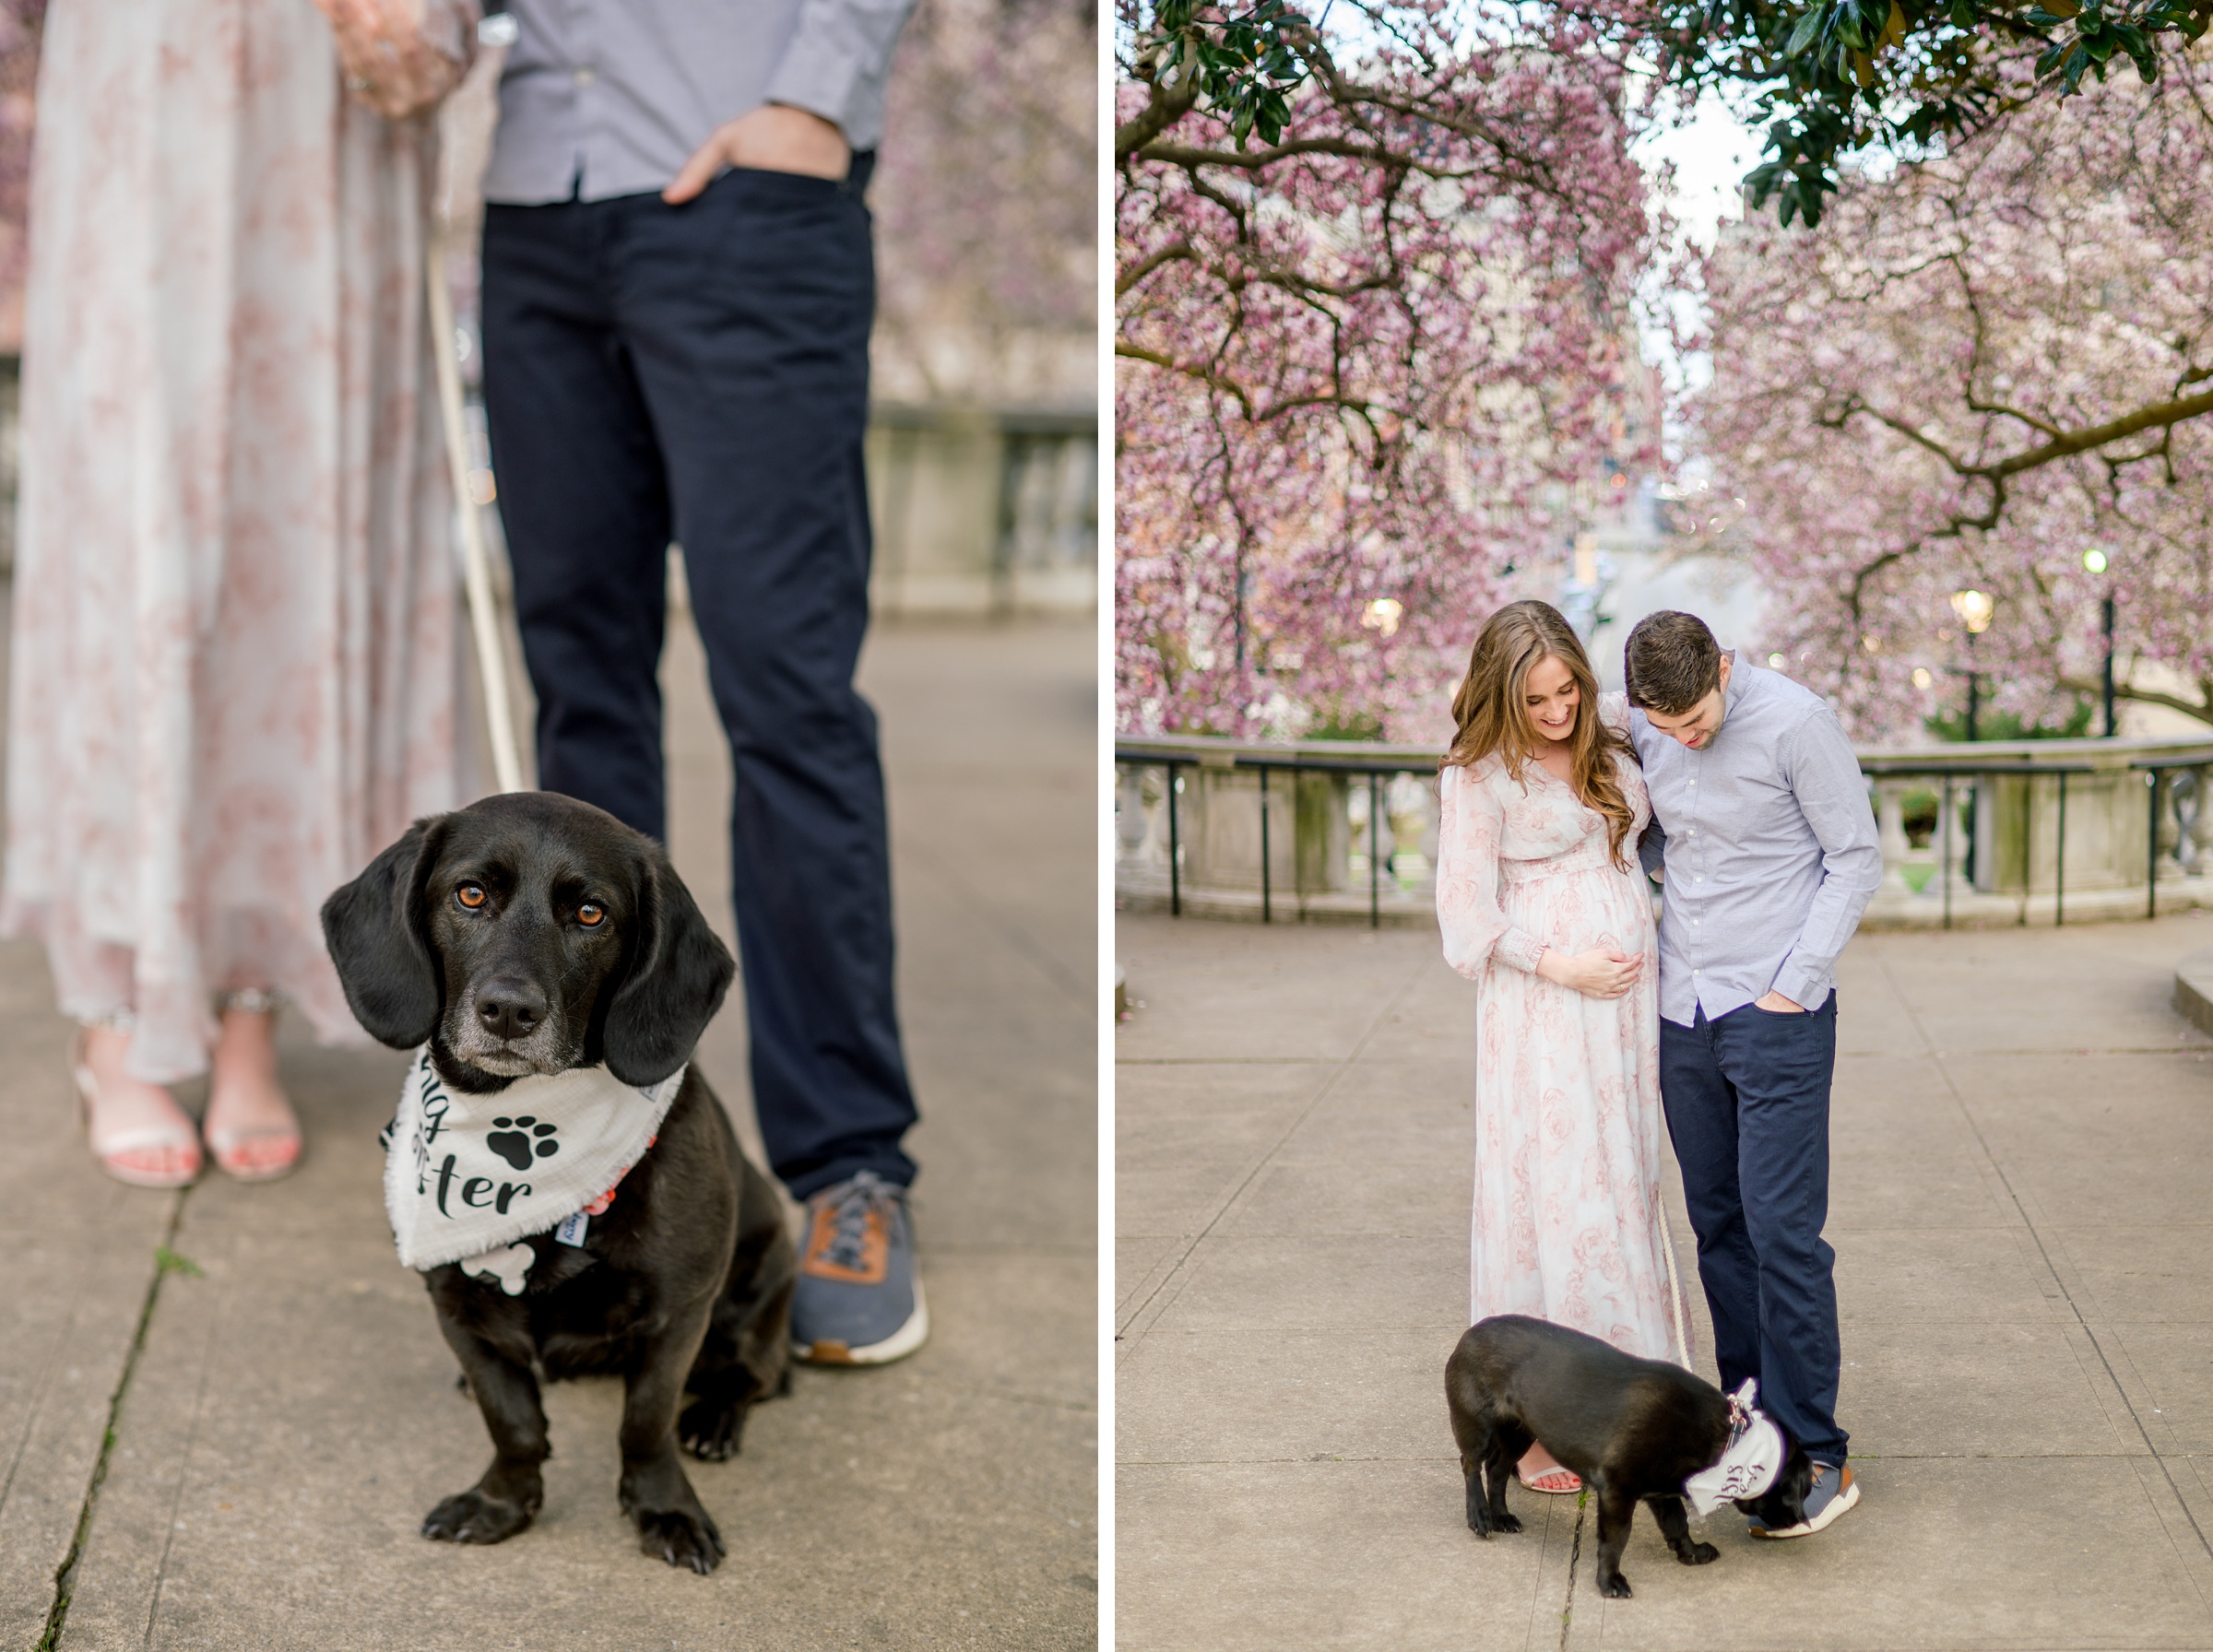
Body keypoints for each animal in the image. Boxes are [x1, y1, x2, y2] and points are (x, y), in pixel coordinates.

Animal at [327, 796, 797, 1575]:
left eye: (591, 914)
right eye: (471, 895)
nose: (509, 1012)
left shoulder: (679, 1314)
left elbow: (646, 1423)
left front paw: (665, 1509)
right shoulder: (457, 1311)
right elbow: (512, 1422)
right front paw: (501, 1503)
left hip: (768, 1273)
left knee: (755, 1373)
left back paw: (717, 1417)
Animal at [1442, 1309, 1805, 1592]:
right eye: (1803, 1487)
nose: (1800, 1520)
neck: (1727, 1439)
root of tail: (1468, 1334)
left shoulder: (1662, 1494)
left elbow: (1678, 1525)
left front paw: (1692, 1554)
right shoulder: (1617, 1492)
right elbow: (1615, 1541)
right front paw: (1610, 1582)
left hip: (1520, 1434)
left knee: (1498, 1470)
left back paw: (1501, 1516)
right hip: (1478, 1428)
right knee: (1471, 1465)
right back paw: (1480, 1516)